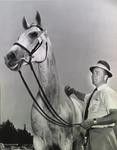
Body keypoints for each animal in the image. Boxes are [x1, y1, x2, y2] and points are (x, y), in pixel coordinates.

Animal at [4, 11, 83, 150]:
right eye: (19, 37)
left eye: (34, 34)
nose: (9, 57)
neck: (52, 102)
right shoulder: (38, 141)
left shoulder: (66, 142)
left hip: (78, 142)